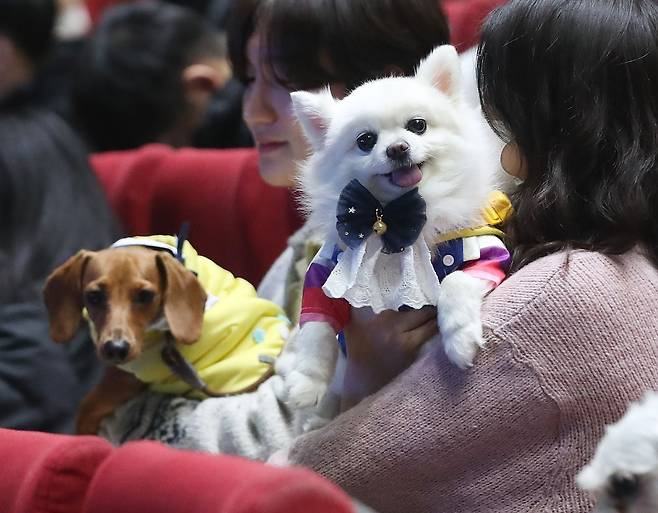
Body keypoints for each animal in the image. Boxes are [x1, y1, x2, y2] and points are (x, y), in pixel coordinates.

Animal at [284, 46, 510, 410]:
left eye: (417, 126)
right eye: (365, 141)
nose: (397, 148)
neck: (394, 215)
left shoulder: (481, 253)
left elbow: (455, 283)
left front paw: (459, 337)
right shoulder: (325, 272)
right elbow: (316, 330)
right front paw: (306, 382)